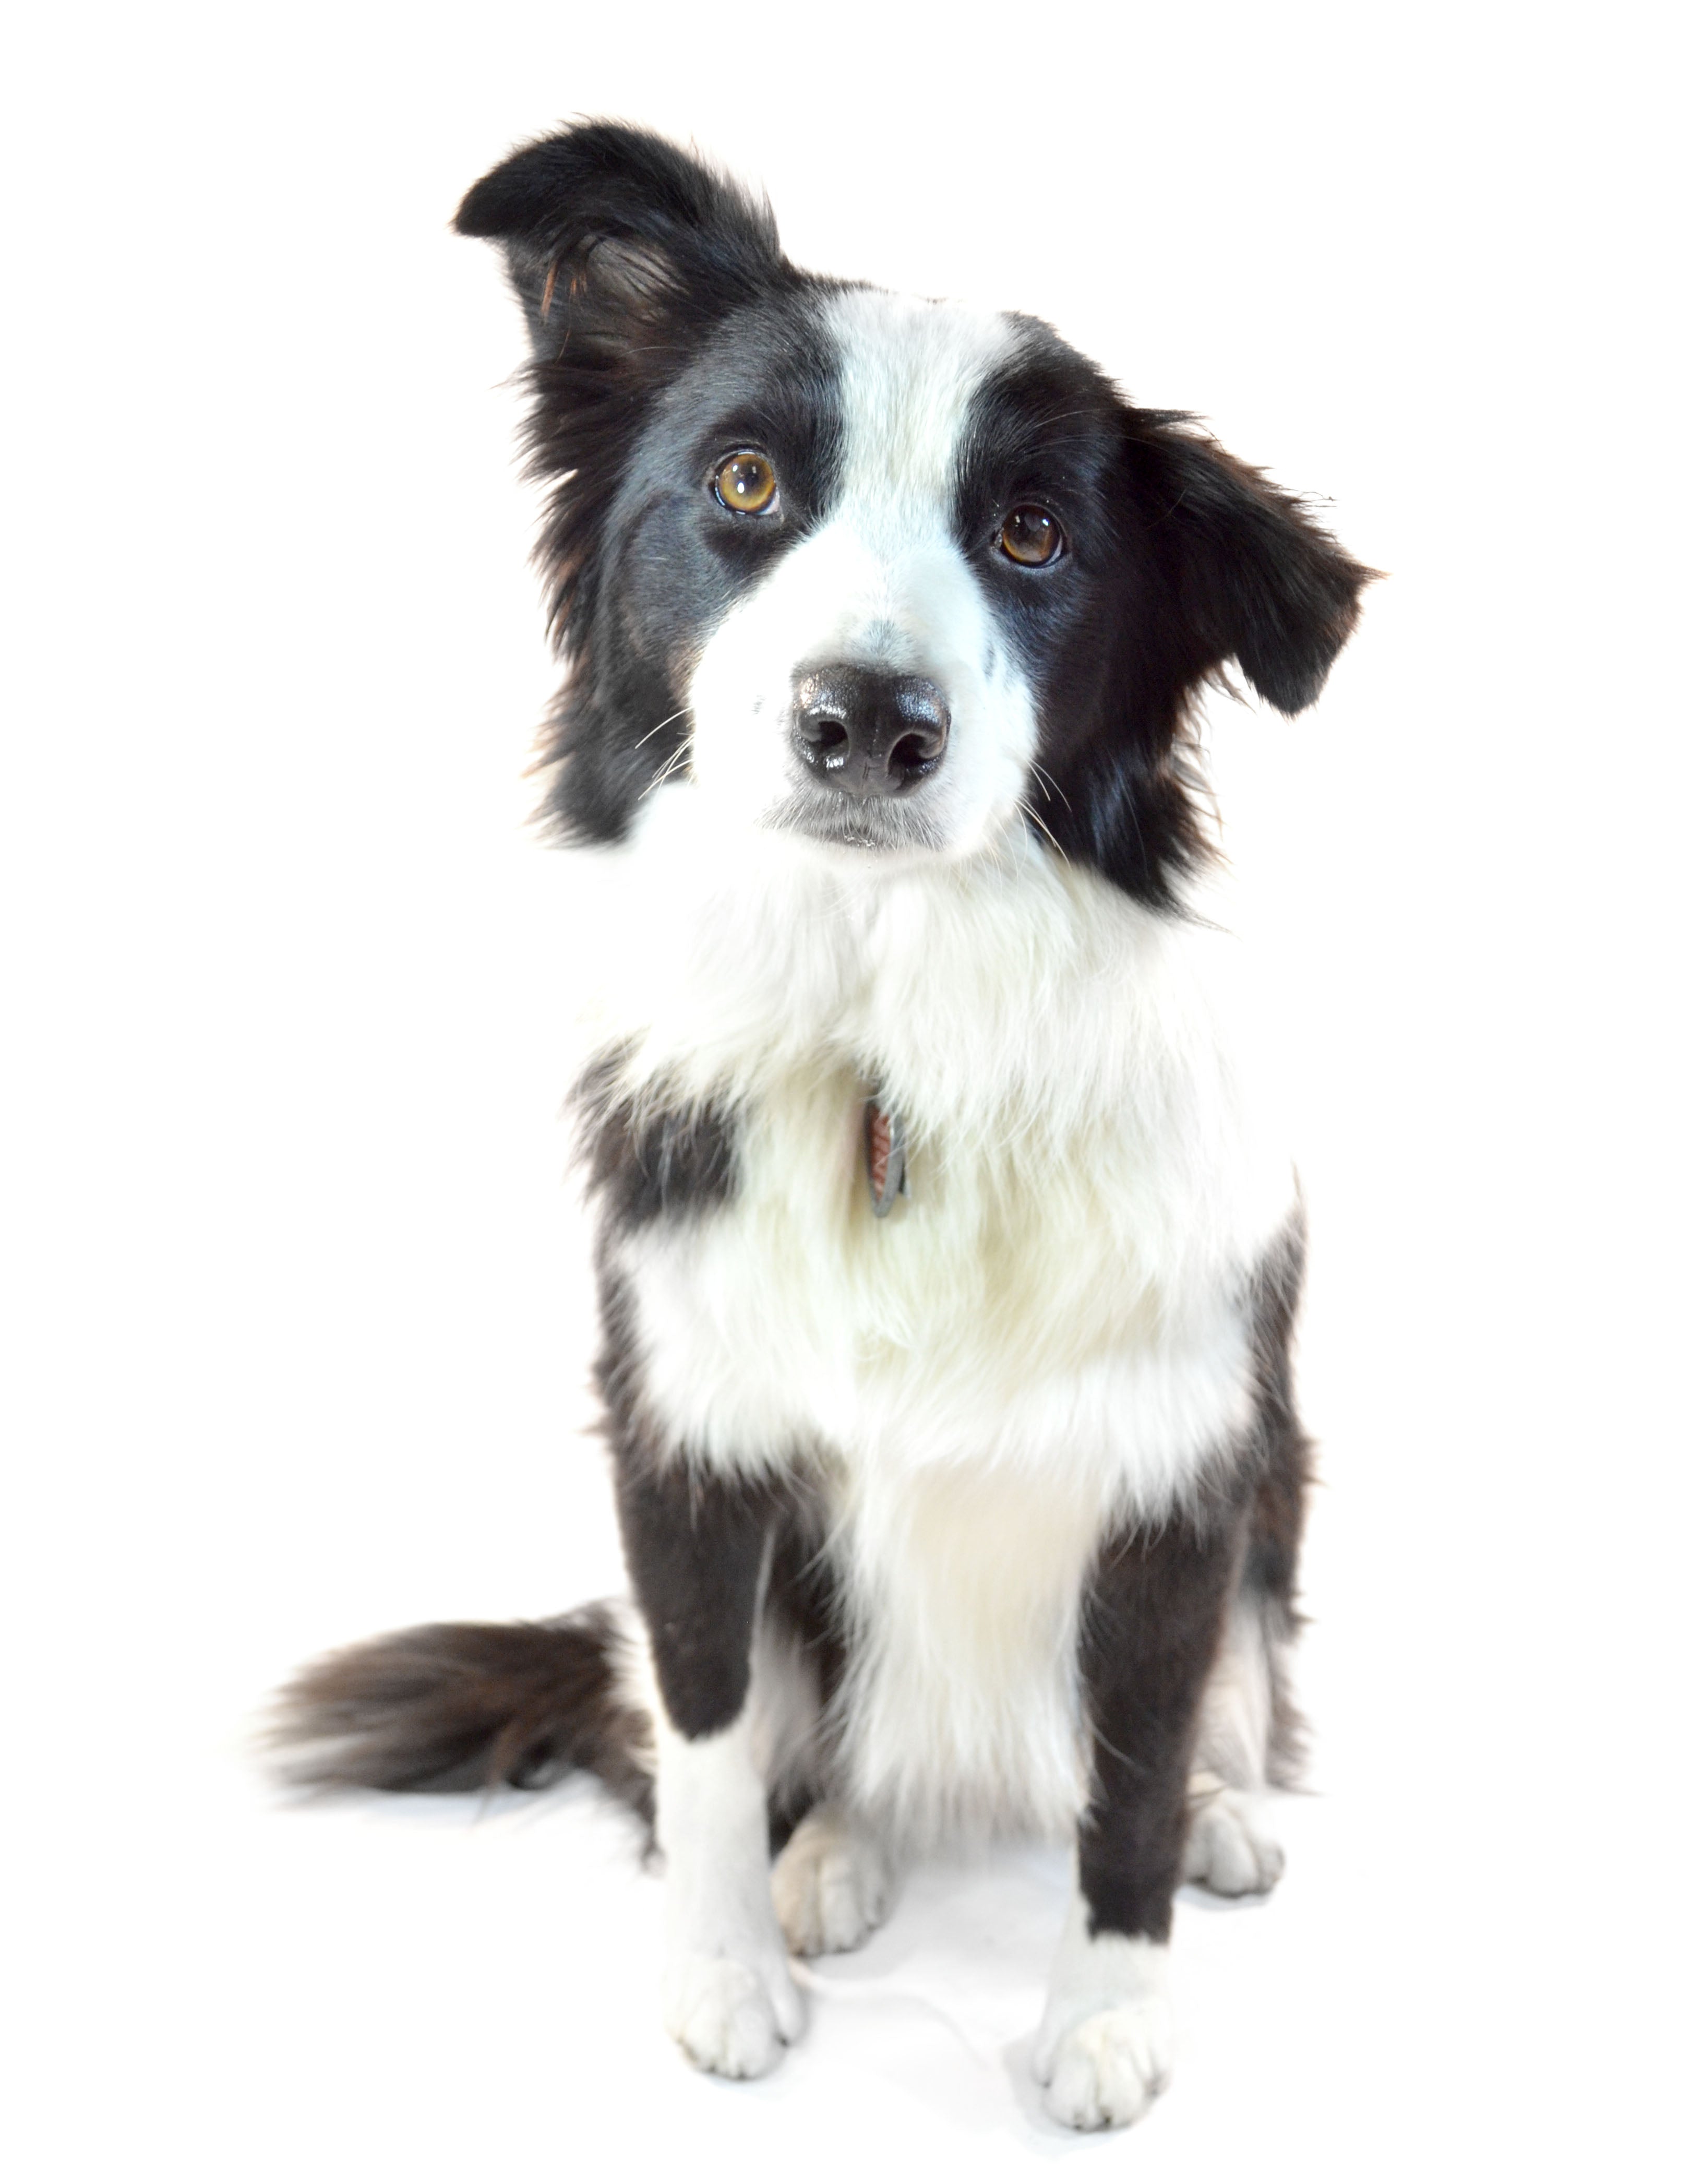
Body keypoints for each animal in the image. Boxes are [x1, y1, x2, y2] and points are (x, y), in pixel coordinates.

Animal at [279, 124, 1371, 2131]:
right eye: (743, 481)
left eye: (1031, 534)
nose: (866, 718)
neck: (893, 1047)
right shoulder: (683, 1442)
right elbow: (712, 1745)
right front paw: (723, 1978)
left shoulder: (1179, 1470)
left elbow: (1128, 1770)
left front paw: (1106, 2016)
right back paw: (834, 1857)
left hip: (1280, 1492)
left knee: (1226, 1703)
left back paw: (1222, 1820)